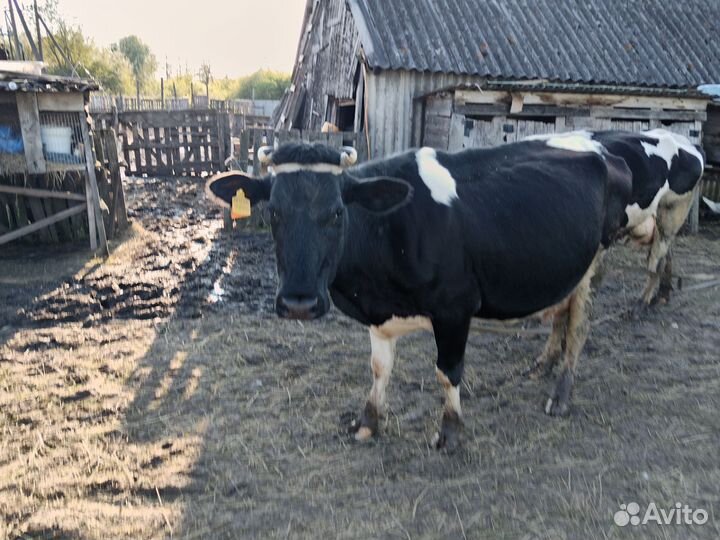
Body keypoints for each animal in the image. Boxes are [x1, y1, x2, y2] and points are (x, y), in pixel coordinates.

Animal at [206, 136, 632, 449]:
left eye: (338, 212)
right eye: (273, 212)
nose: (299, 303)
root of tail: (604, 149)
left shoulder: (455, 307)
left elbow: (448, 372)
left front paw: (451, 432)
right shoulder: (379, 315)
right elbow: (380, 368)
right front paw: (367, 422)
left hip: (596, 262)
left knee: (578, 328)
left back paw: (561, 395)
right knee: (560, 315)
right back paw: (543, 366)